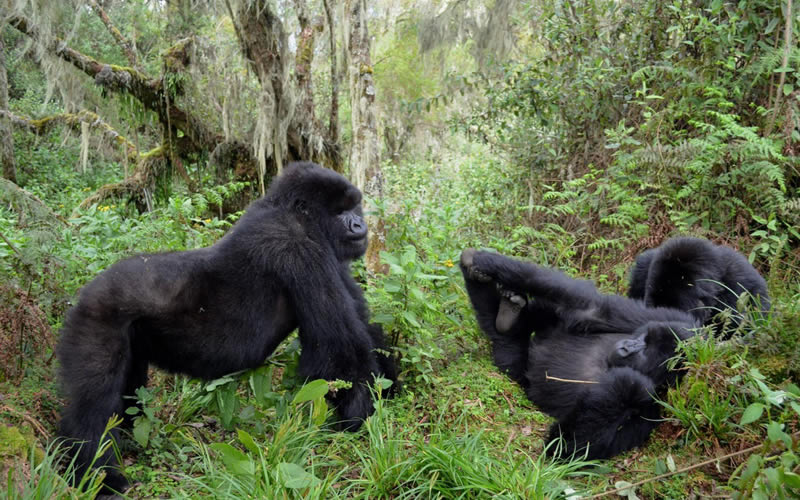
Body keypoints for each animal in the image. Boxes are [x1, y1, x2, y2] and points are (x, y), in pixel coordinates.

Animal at [56, 161, 396, 492]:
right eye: (339, 212)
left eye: (354, 207)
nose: (359, 225)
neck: (291, 212)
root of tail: (82, 295)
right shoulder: (297, 245)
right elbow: (338, 347)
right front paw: (362, 421)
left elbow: (363, 327)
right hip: (97, 320)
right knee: (93, 407)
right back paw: (99, 476)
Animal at [460, 250, 696, 460]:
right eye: (644, 339)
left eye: (645, 352)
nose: (628, 346)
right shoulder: (663, 318)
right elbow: (592, 307)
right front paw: (485, 261)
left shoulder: (652, 409)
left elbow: (567, 447)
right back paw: (507, 310)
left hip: (515, 371)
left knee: (509, 354)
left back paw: (505, 324)